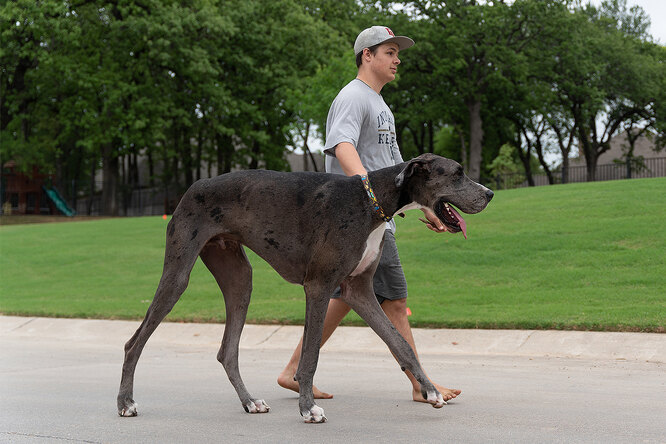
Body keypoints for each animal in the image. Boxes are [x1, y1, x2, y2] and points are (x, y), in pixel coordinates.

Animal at [118, 153, 492, 424]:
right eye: (457, 173)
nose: (489, 194)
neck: (371, 202)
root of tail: (194, 186)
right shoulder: (319, 287)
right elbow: (310, 355)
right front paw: (308, 408)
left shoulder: (359, 291)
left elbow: (401, 344)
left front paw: (431, 392)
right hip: (177, 275)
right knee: (134, 341)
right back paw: (125, 402)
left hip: (240, 279)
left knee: (228, 351)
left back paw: (249, 401)